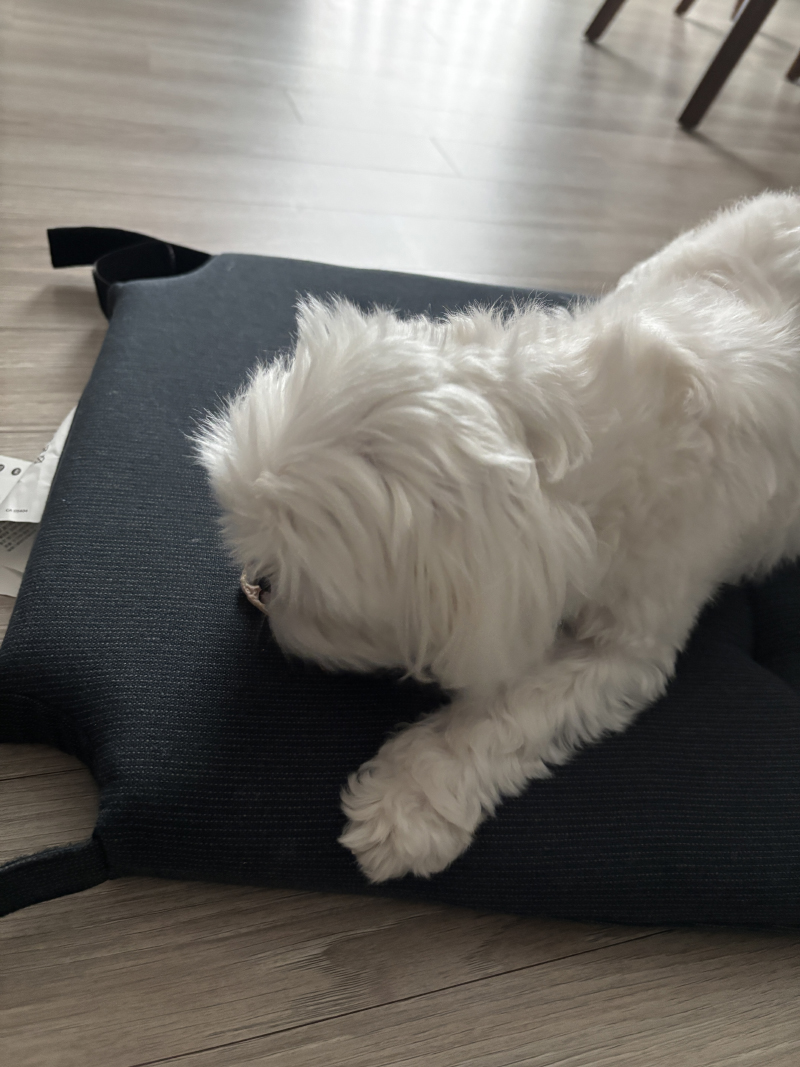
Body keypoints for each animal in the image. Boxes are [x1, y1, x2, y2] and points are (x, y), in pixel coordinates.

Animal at [197, 191, 800, 883]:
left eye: (311, 589)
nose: (257, 587)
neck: (559, 432)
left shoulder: (629, 637)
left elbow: (505, 711)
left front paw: (409, 800)